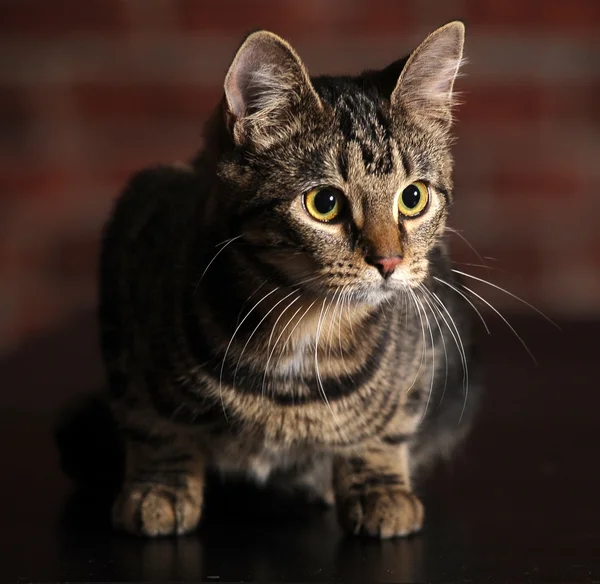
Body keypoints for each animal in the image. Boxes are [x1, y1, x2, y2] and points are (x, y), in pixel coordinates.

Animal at [57, 24, 478, 544]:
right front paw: (159, 488)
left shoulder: (425, 350)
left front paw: (381, 489)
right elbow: (149, 419)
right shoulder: (128, 249)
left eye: (413, 197)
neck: (306, 325)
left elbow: (390, 426)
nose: (389, 261)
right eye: (324, 203)